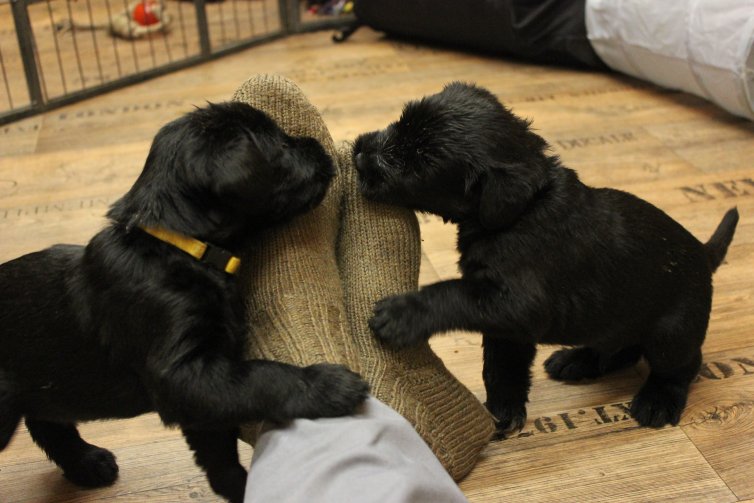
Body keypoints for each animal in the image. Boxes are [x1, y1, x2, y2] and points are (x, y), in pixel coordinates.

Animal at [0, 100, 368, 502]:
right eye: (281, 147)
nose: (319, 147)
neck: (177, 246)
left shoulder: (205, 388)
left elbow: (218, 451)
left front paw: (239, 487)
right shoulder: (182, 374)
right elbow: (263, 375)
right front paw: (327, 384)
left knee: (46, 422)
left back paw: (87, 463)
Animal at [352, 81, 736, 434]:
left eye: (416, 165)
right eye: (400, 122)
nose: (358, 153)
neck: (524, 209)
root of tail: (703, 252)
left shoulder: (515, 303)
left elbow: (451, 293)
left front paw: (403, 313)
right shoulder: (508, 326)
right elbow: (502, 367)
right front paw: (503, 411)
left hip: (671, 333)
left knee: (682, 364)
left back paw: (658, 400)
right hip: (616, 317)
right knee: (622, 347)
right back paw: (579, 359)